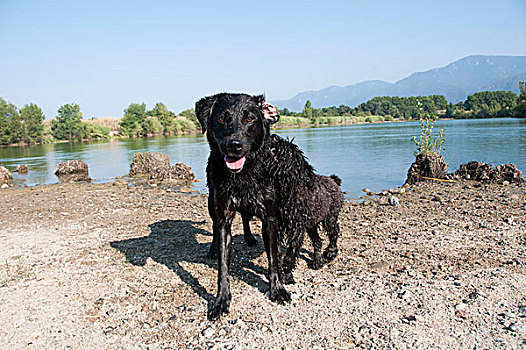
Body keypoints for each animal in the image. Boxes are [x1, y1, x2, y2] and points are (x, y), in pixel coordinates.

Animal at [196, 93, 344, 320]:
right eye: (221, 119)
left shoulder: (273, 220)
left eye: (250, 118)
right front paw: (221, 301)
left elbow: (275, 258)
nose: (234, 145)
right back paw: (215, 248)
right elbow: (223, 268)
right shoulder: (224, 217)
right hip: (213, 204)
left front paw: (278, 288)